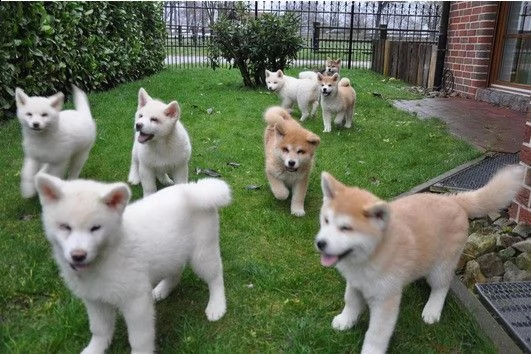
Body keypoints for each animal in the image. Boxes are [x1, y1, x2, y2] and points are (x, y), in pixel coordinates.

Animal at [35, 173, 231, 352]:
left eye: (95, 228)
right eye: (65, 227)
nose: (78, 255)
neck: (108, 254)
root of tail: (194, 189)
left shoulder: (136, 302)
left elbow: (139, 338)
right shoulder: (95, 299)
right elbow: (100, 329)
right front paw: (95, 349)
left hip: (203, 253)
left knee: (215, 277)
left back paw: (217, 306)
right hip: (172, 252)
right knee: (175, 272)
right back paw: (162, 290)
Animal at [314, 166, 524, 354]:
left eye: (346, 228)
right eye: (326, 220)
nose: (320, 243)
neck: (370, 256)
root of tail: (453, 200)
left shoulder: (385, 300)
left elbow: (376, 334)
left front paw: (370, 351)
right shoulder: (355, 282)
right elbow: (350, 301)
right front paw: (345, 320)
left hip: (440, 267)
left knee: (441, 287)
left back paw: (432, 310)